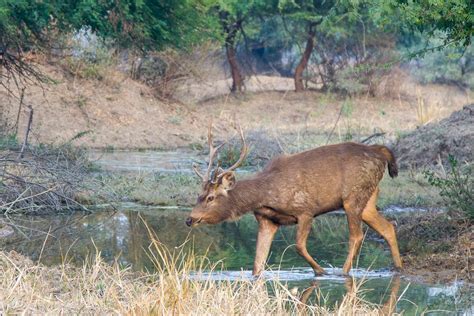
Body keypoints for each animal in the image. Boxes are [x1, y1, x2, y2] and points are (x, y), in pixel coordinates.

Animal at [187, 126, 402, 276]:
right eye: (198, 196)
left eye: (210, 197)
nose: (189, 219)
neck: (264, 196)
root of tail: (380, 152)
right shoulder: (267, 220)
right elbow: (257, 265)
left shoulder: (306, 210)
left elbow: (298, 246)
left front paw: (321, 271)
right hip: (368, 199)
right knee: (388, 227)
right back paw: (398, 267)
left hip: (353, 198)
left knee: (356, 235)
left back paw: (343, 272)